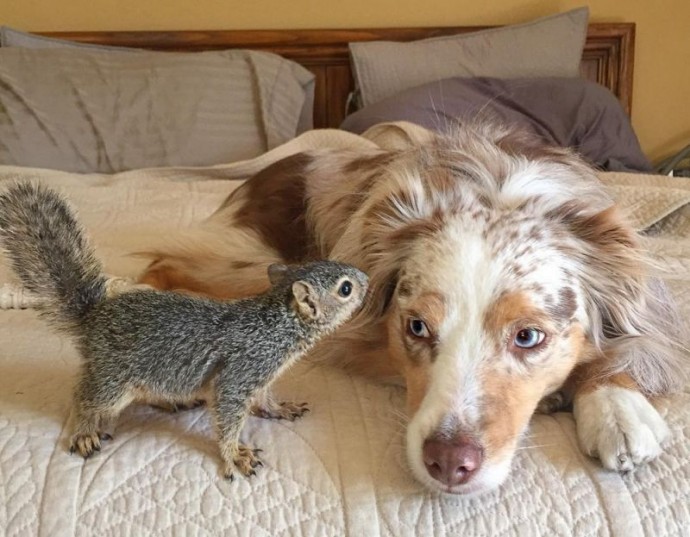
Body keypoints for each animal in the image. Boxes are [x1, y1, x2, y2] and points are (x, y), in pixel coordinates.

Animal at [138, 123, 688, 495]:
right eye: (417, 327)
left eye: (528, 337)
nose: (449, 463)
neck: (498, 190)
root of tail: (267, 170)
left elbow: (629, 344)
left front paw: (617, 408)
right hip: (263, 267)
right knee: (165, 262)